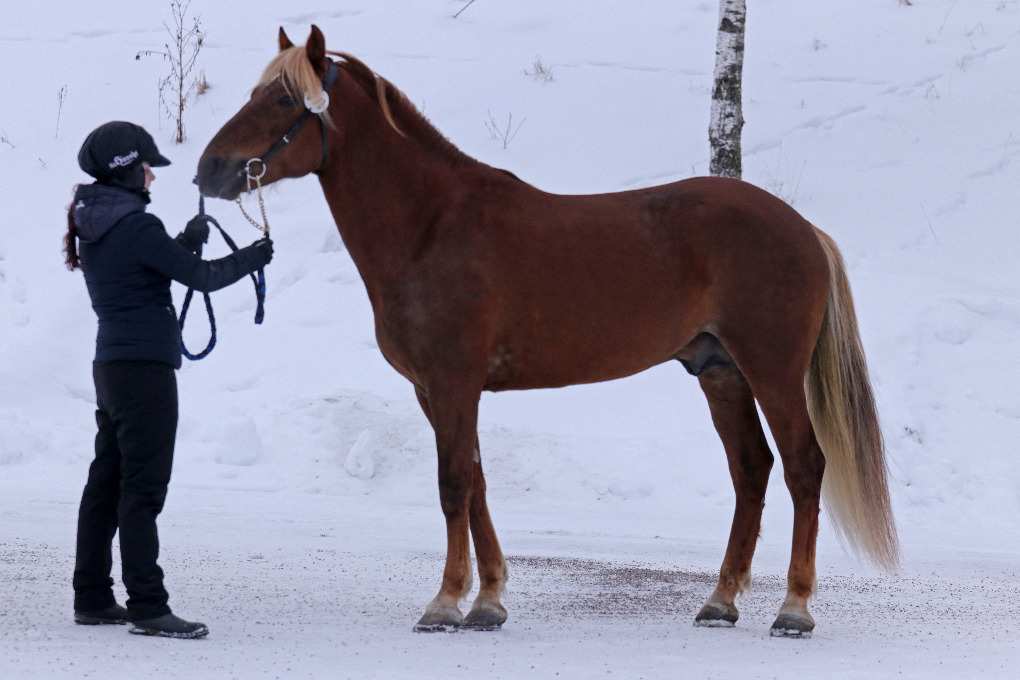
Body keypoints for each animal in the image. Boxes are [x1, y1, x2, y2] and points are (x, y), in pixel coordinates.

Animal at [194, 22, 897, 640]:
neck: (431, 226)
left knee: (804, 468)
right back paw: (720, 602)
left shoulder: (452, 383)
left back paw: (793, 609)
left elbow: (453, 485)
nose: (209, 171)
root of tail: (803, 228)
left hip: (772, 371)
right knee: (751, 469)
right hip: (720, 372)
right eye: (255, 93)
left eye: (283, 99)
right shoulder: (436, 391)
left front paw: (445, 602)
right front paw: (487, 602)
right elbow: (475, 483)